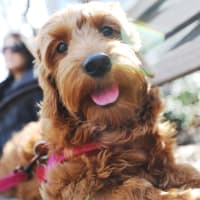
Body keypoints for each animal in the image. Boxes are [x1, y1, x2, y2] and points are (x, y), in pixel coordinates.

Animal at [0, 1, 200, 200]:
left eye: (107, 30)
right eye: (61, 47)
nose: (97, 63)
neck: (113, 129)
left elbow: (187, 171)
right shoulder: (66, 187)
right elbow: (135, 188)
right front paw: (184, 194)